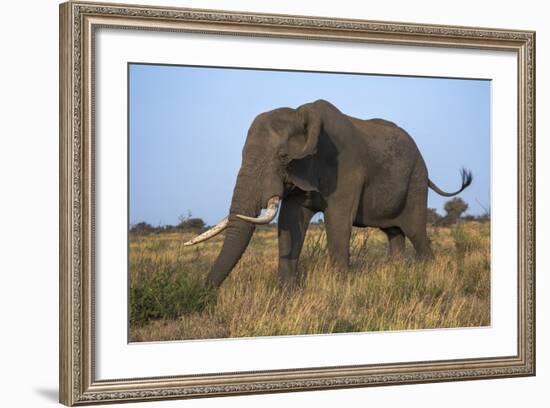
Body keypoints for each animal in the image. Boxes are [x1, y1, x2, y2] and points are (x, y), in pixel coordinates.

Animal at [187, 99, 474, 288]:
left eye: (283, 157)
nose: (204, 293)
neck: (303, 115)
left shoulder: (346, 167)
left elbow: (337, 223)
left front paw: (340, 292)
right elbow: (290, 223)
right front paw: (287, 294)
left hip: (416, 180)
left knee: (416, 232)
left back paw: (428, 275)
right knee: (394, 233)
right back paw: (397, 274)